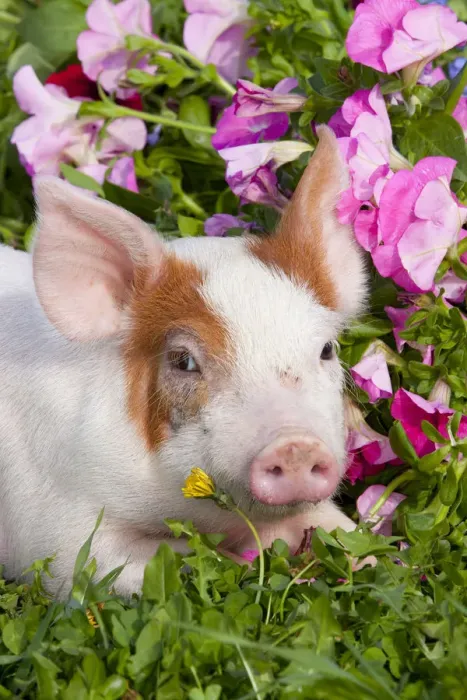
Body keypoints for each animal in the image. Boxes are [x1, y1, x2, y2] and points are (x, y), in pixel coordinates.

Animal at [0, 126, 366, 596]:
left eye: (326, 349)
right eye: (183, 360)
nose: (296, 445)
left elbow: (339, 528)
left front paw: (367, 555)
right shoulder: (53, 524)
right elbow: (101, 561)